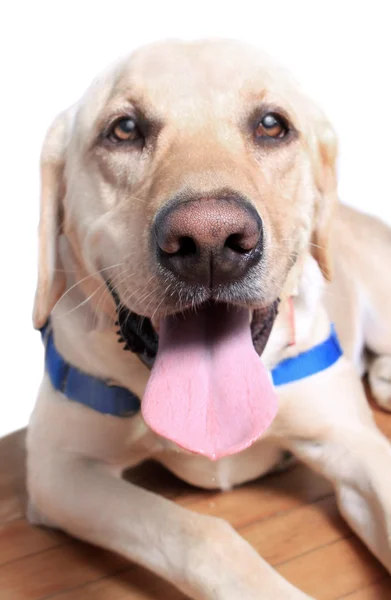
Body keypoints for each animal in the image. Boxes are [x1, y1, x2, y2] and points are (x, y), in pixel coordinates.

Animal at [26, 39, 391, 596]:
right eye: (123, 129)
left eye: (271, 124)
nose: (211, 242)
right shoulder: (56, 468)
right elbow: (202, 533)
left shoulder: (355, 443)